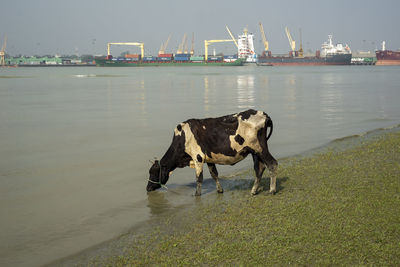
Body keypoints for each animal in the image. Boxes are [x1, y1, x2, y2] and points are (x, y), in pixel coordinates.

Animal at [147, 109, 278, 197]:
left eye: (153, 172)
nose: (147, 188)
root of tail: (263, 114)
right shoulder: (209, 159)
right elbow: (214, 174)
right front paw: (219, 190)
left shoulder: (198, 157)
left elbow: (199, 178)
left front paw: (196, 194)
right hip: (255, 152)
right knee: (259, 168)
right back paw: (254, 190)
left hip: (260, 149)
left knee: (272, 164)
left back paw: (272, 190)